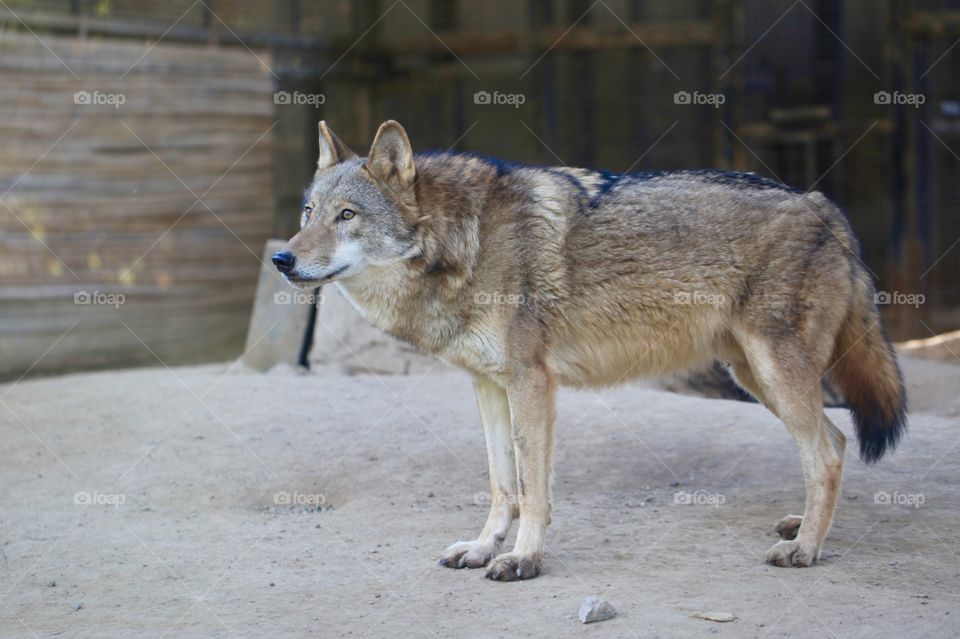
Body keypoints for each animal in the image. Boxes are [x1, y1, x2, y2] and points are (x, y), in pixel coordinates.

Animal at [273, 120, 907, 581]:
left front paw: (523, 559)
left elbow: (533, 490)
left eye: (347, 216)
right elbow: (502, 484)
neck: (465, 245)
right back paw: (802, 528)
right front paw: (482, 548)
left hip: (774, 372)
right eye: (308, 212)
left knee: (825, 453)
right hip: (753, 376)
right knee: (836, 441)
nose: (281, 258)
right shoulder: (488, 385)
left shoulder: (531, 383)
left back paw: (806, 549)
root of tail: (825, 205)